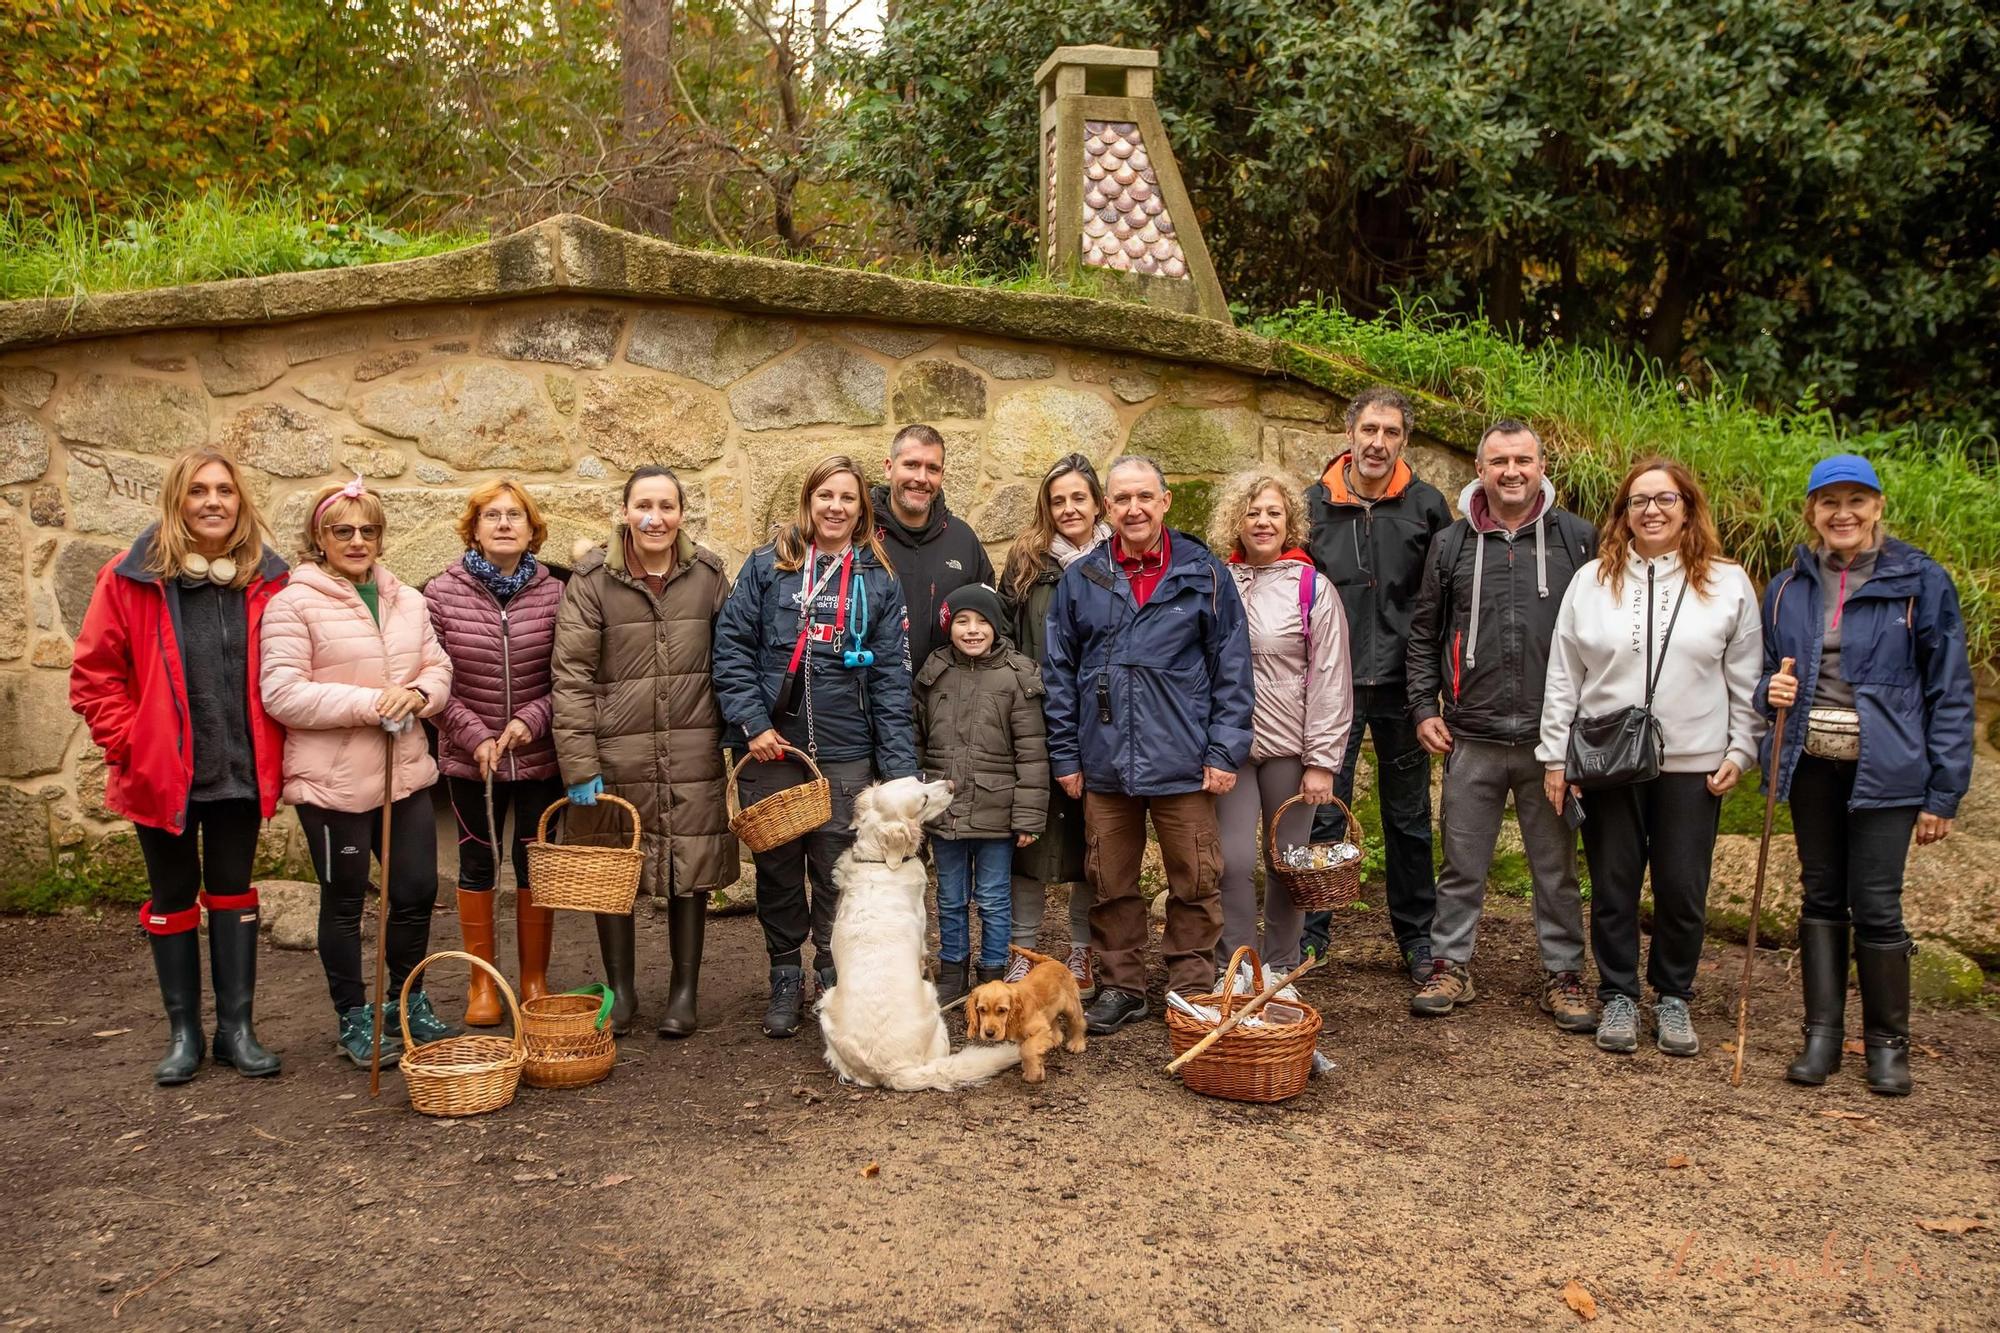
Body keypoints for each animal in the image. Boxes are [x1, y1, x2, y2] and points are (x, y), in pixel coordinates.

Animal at [820, 768, 1024, 1088]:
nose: (952, 784)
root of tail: (896, 1070)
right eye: (924, 798)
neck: (880, 862)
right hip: (929, 1002)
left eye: (920, 779)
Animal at [964, 940, 1088, 1072]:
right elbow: (1024, 1049)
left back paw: (1077, 1044)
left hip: (1071, 1006)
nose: (989, 1033)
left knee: (1078, 1022)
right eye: (982, 1010)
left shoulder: (1040, 1029)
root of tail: (1051, 961)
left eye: (1002, 1010)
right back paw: (1054, 1038)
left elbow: (1027, 1049)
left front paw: (1033, 1071)